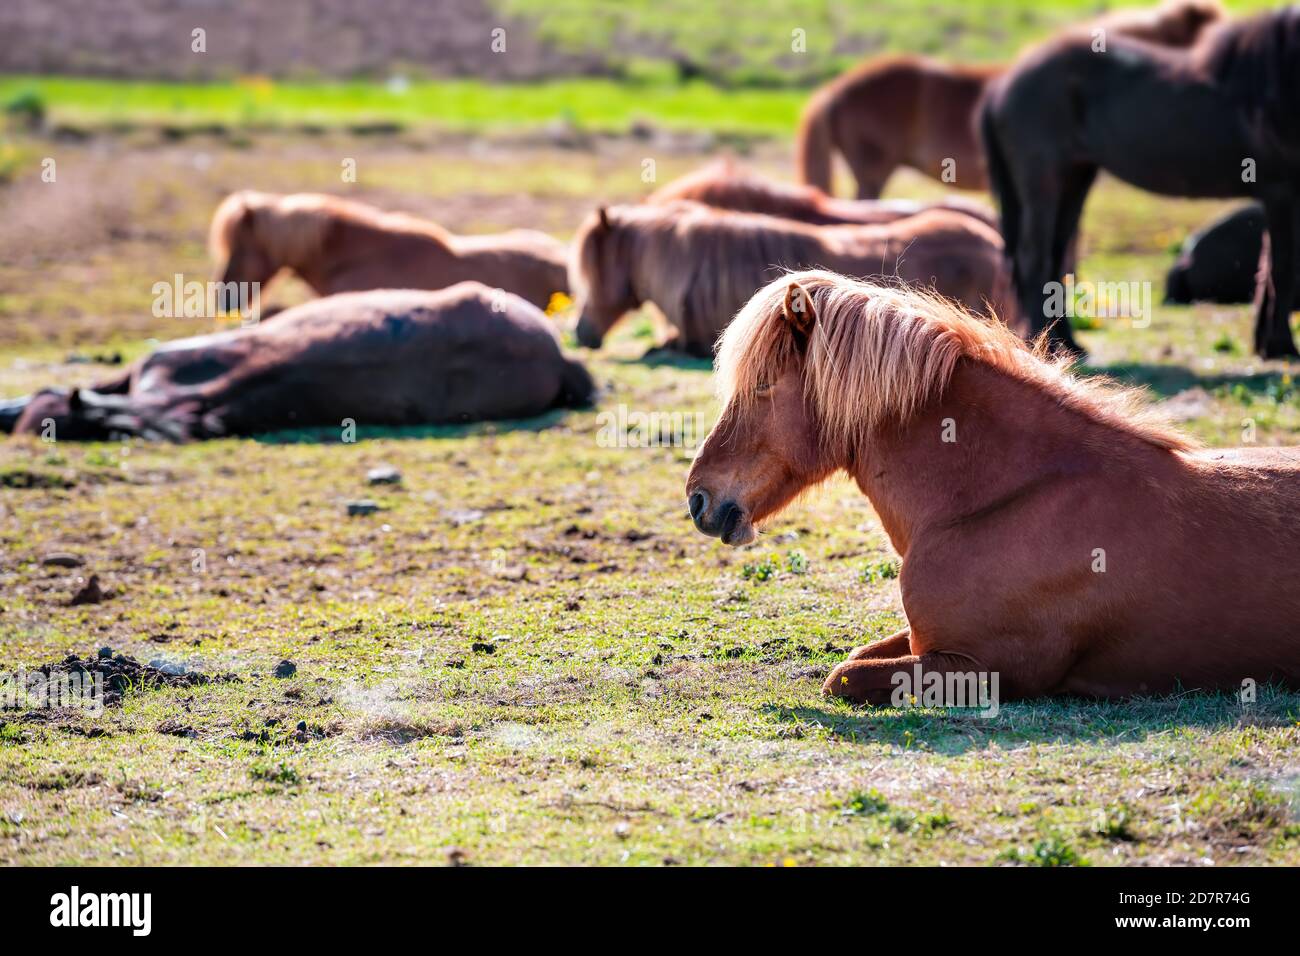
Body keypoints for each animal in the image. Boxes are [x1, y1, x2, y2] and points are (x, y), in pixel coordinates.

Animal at [686, 271, 1300, 704]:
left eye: (763, 386)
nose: (698, 499)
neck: (996, 500)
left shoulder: (985, 667)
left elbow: (843, 676)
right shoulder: (927, 641)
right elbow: (857, 655)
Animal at [981, 6, 1300, 358]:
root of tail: (1003, 85)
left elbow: (1268, 268)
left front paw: (1265, 343)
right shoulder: (1280, 190)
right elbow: (1283, 268)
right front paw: (1281, 346)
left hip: (1074, 179)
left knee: (1056, 257)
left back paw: (1068, 344)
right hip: (1042, 183)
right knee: (1034, 258)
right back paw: (1045, 345)